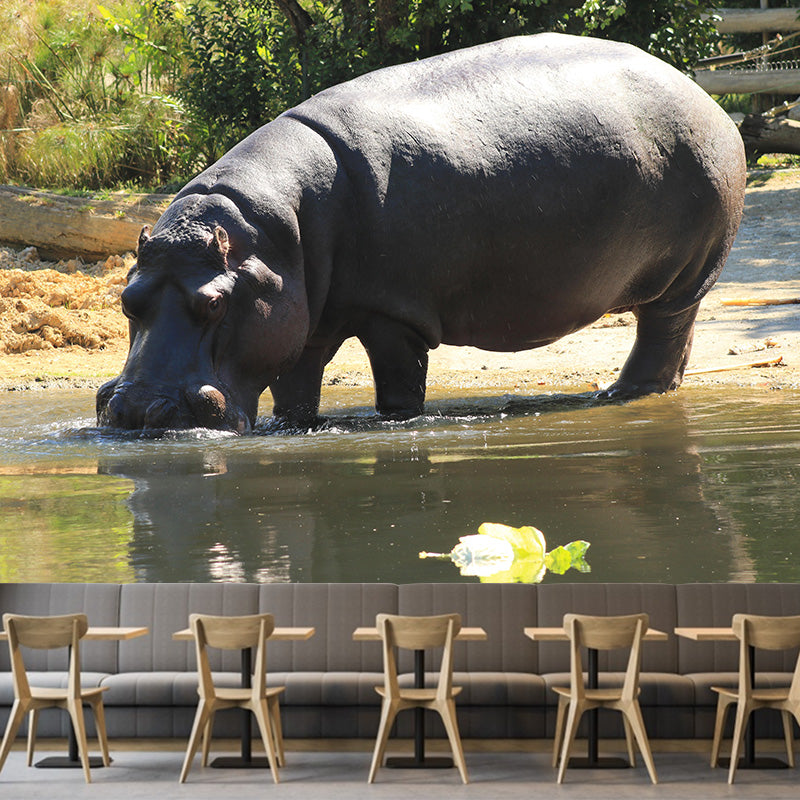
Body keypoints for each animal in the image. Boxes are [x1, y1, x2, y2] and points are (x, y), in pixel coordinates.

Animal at [96, 33, 746, 433]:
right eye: (126, 300)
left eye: (214, 303)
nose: (136, 411)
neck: (269, 235)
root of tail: (703, 93)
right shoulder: (301, 314)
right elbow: (294, 386)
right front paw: (298, 425)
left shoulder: (393, 315)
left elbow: (398, 386)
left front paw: (395, 423)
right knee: (675, 338)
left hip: (686, 274)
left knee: (662, 329)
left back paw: (622, 395)